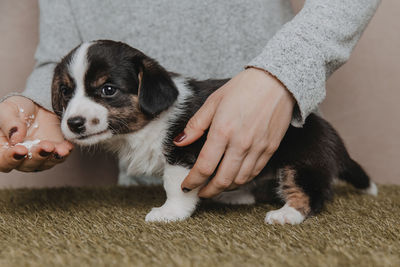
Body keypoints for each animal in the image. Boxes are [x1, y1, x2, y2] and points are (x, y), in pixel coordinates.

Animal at [50, 39, 378, 224]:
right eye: (65, 91)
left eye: (108, 90)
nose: (73, 123)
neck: (149, 122)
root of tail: (334, 139)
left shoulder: (183, 154)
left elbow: (175, 187)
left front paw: (169, 213)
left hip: (302, 164)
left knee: (311, 195)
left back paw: (286, 214)